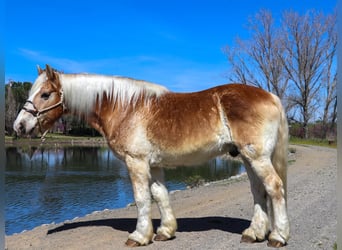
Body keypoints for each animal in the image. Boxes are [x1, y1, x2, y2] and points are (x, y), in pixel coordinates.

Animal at [14, 65, 290, 248]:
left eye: (45, 94)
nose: (19, 126)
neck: (125, 107)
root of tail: (271, 96)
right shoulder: (154, 165)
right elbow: (160, 195)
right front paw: (165, 232)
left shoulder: (136, 162)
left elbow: (141, 199)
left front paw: (139, 236)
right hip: (247, 158)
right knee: (258, 190)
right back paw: (254, 233)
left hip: (256, 157)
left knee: (274, 188)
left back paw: (277, 236)